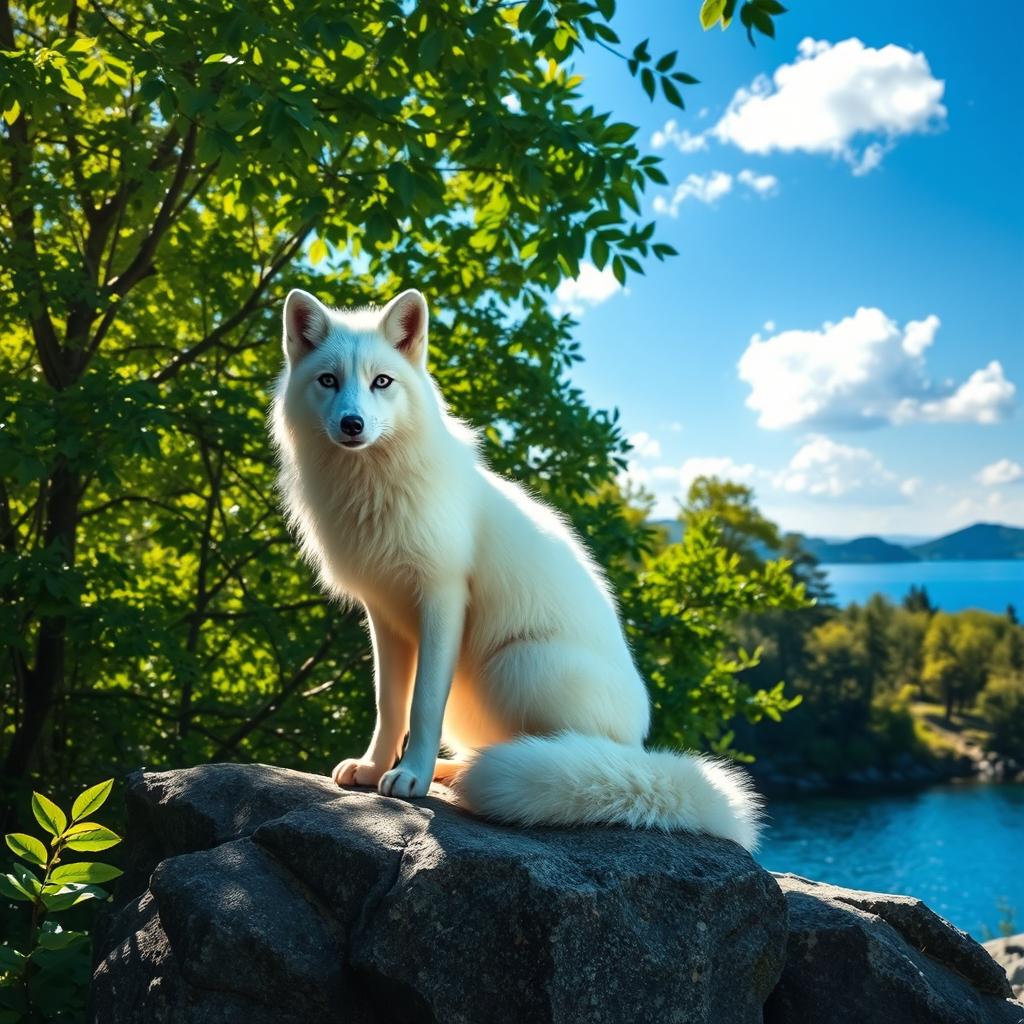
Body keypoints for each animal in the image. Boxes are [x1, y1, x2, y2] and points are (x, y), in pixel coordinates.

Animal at [271, 286, 762, 851]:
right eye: (328, 380)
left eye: (382, 381)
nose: (352, 424)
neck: (371, 488)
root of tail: (636, 749)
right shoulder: (386, 615)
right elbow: (390, 706)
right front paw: (375, 769)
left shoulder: (442, 597)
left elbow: (423, 704)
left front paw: (411, 776)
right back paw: (456, 771)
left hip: (518, 665)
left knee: (548, 753)